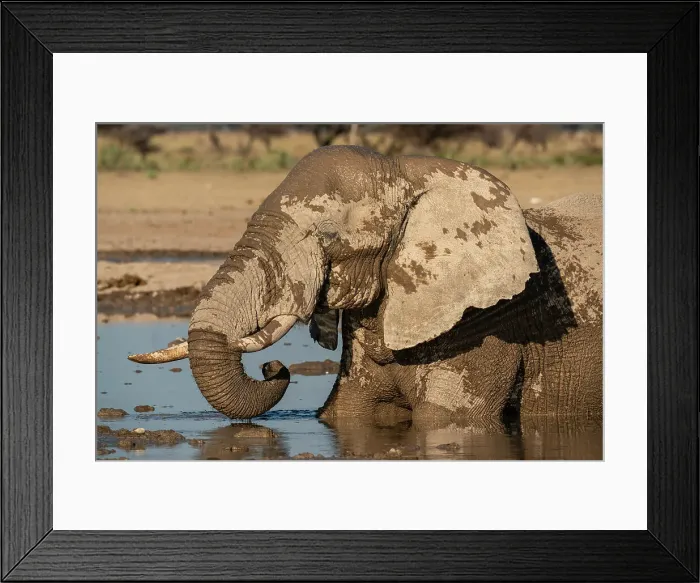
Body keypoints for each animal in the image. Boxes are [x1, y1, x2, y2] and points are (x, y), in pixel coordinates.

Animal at [128, 145, 602, 425]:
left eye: (328, 238)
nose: (273, 367)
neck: (412, 172)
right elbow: (346, 414)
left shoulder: (485, 325)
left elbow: (447, 419)